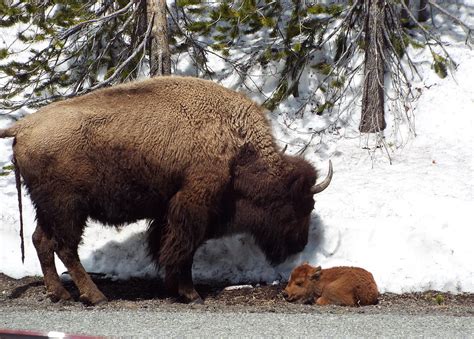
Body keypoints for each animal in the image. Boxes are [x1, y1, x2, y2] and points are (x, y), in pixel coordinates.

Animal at [0, 76, 334, 306]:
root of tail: (23, 126)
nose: (299, 244)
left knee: (42, 241)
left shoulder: (167, 211)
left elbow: (167, 245)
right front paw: (190, 293)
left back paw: (60, 294)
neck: (236, 145)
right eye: (301, 205)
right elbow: (183, 247)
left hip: (47, 209)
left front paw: (176, 288)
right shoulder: (192, 204)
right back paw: (95, 296)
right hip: (68, 208)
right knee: (65, 247)